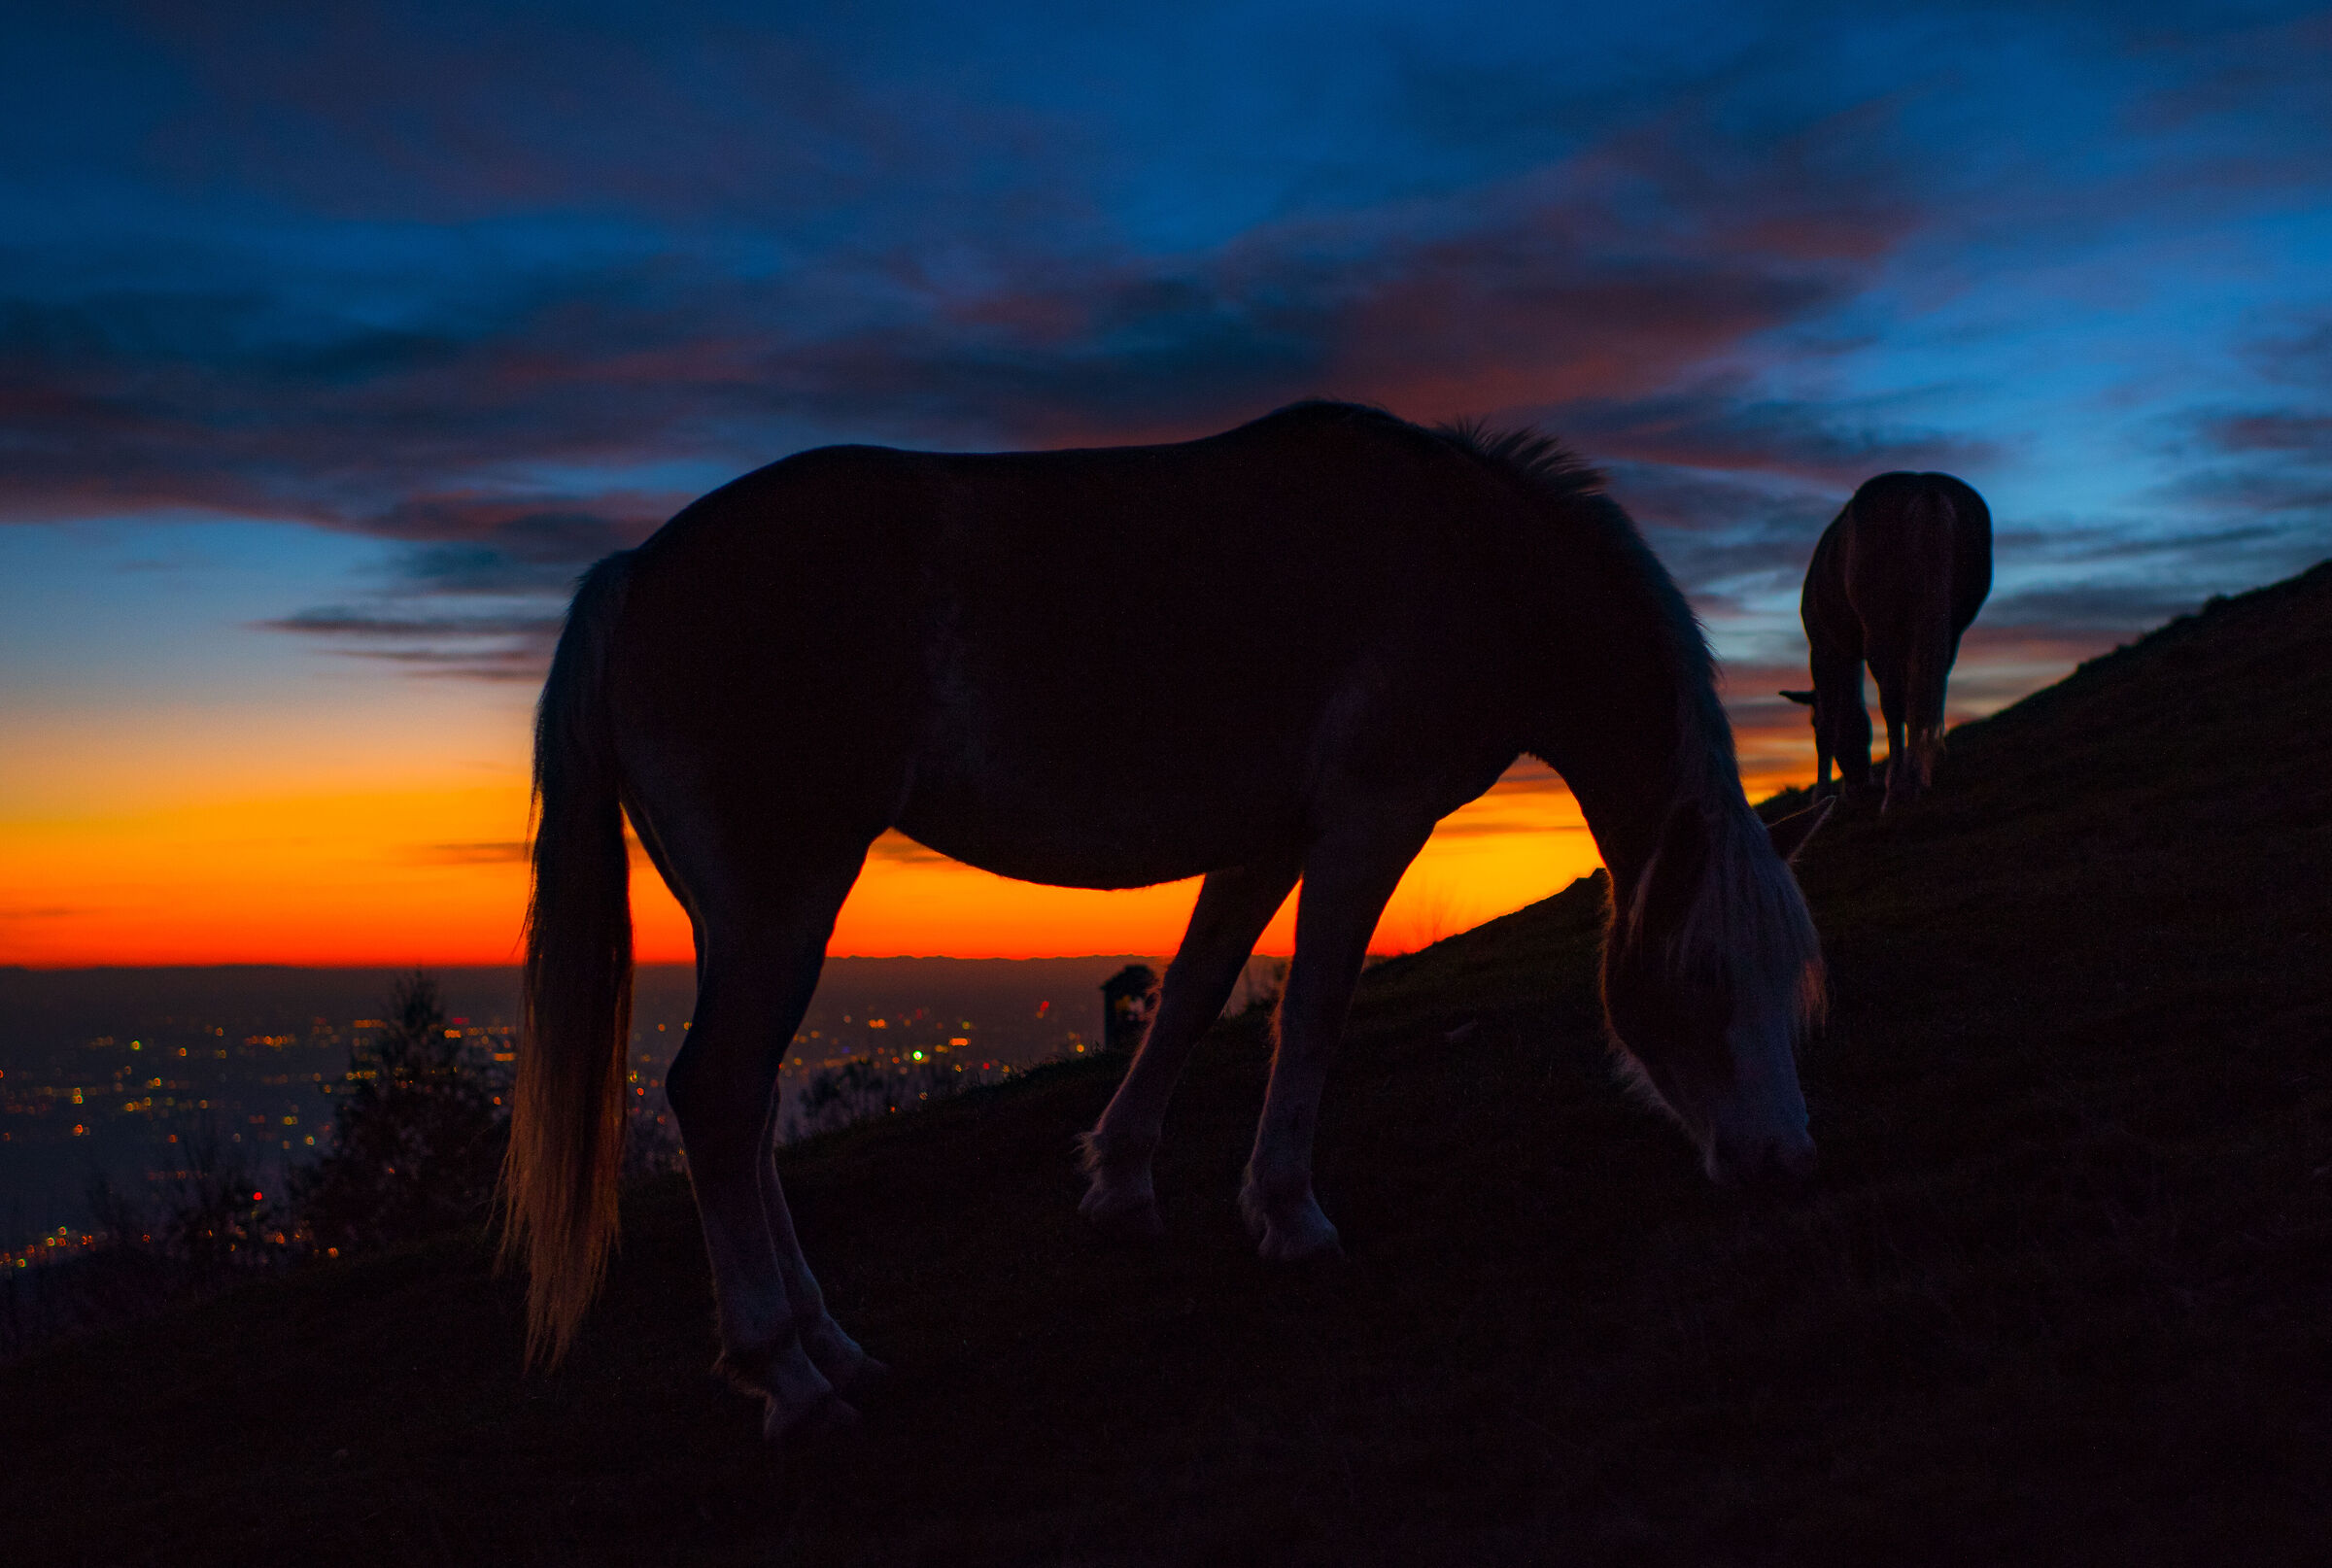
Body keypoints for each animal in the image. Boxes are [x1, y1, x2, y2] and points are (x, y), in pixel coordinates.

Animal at [501, 400, 1835, 1442]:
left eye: (1788, 988)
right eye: (1702, 983)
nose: (1785, 1165)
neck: (1479, 558)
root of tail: (635, 574)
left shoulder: (1270, 835)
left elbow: (1192, 995)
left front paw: (1123, 1185)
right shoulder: (1368, 821)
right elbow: (1315, 1012)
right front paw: (1290, 1215)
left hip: (745, 920)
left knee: (747, 1108)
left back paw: (832, 1349)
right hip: (784, 906)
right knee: (718, 1098)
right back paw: (789, 1374)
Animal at [1781, 471, 1992, 811]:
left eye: (1809, 723)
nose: (1860, 783)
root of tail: (1925, 488)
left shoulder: (1824, 650)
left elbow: (1828, 723)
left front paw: (1821, 794)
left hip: (1880, 633)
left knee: (1894, 700)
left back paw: (1899, 787)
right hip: (1949, 629)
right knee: (1927, 691)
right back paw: (1916, 776)